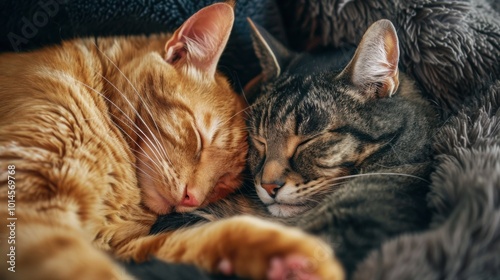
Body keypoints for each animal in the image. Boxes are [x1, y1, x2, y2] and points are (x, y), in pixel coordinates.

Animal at [0, 2, 344, 280]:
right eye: (199, 139)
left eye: (224, 182)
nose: (191, 199)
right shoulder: (26, 202)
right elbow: (83, 267)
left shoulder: (126, 246)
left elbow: (207, 236)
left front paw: (291, 258)